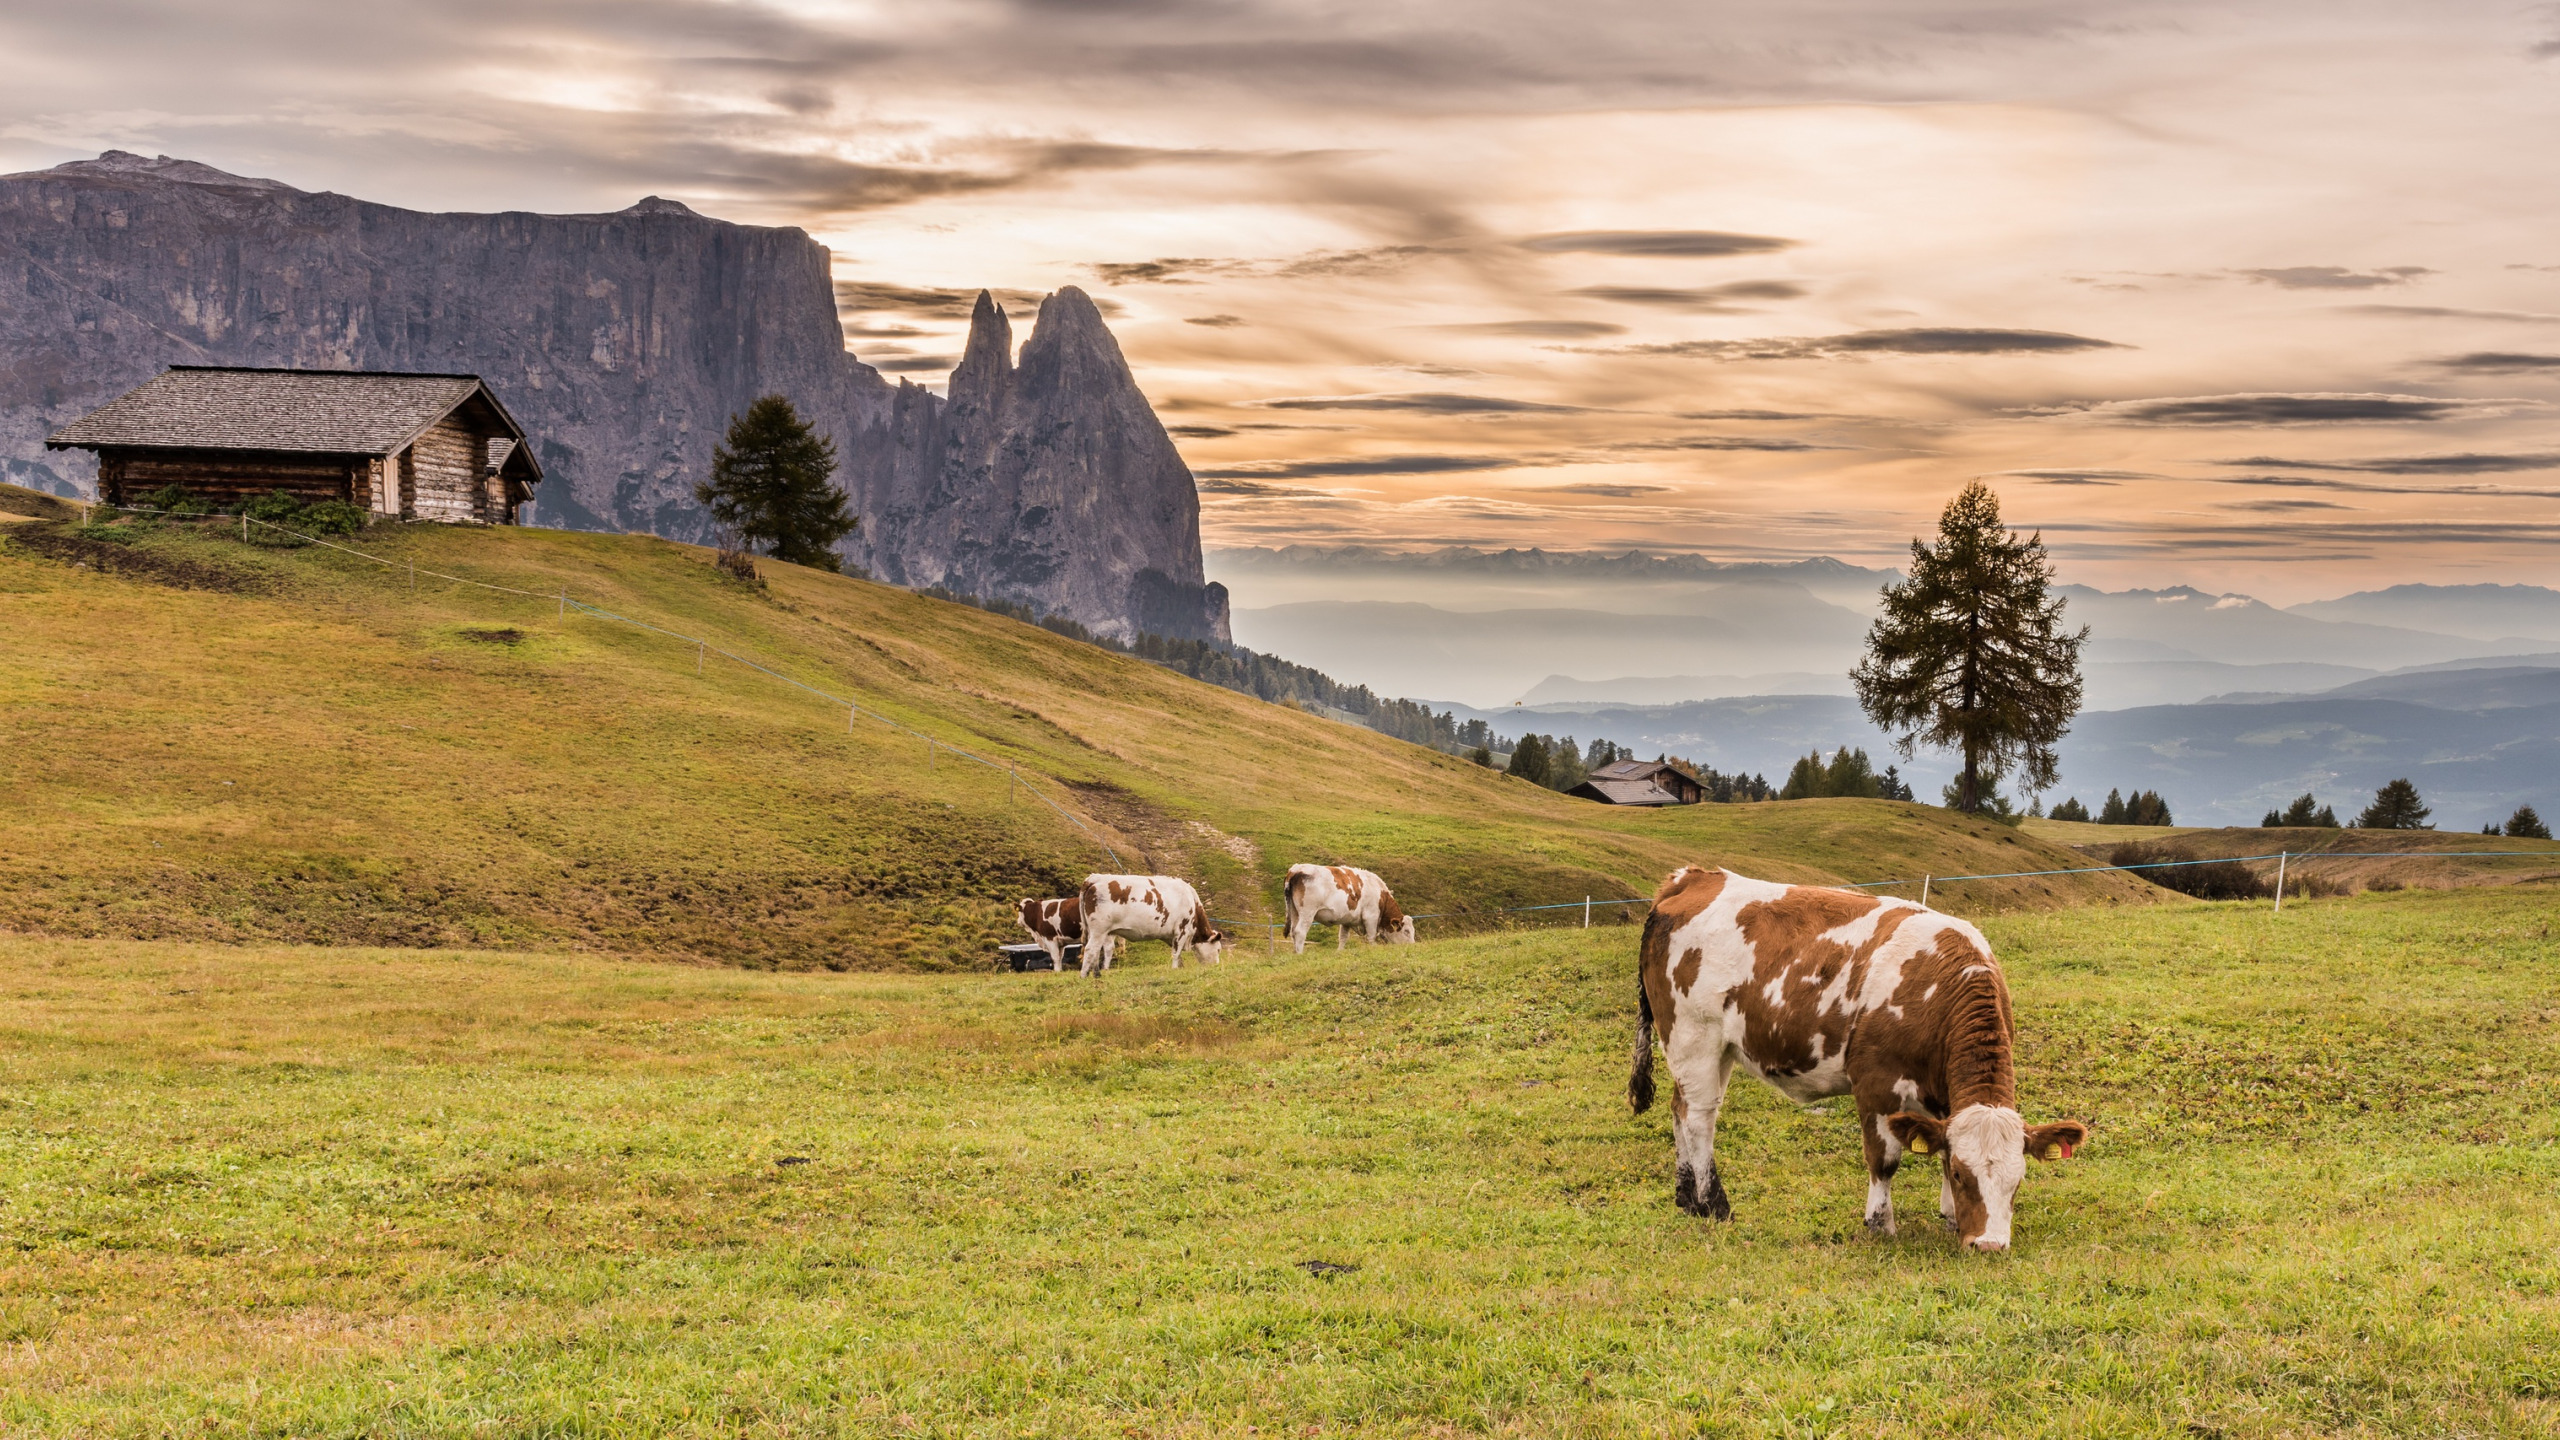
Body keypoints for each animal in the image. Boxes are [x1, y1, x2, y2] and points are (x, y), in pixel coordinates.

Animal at [1075, 871, 1233, 968]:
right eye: (1218, 949)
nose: (1216, 966)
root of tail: (1094, 878)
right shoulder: (1182, 930)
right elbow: (1176, 953)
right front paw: (1175, 969)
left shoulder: (1172, 936)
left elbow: (1177, 954)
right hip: (1098, 930)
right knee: (1090, 949)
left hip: (1106, 931)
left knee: (1107, 950)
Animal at [1280, 860, 1423, 953]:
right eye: (1406, 931)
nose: (1413, 946)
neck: (1380, 893)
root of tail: (1295, 869)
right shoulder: (1371, 916)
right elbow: (1371, 937)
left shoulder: (1347, 920)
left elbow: (1343, 938)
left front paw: (1339, 952)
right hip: (1307, 912)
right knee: (1300, 932)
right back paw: (1300, 953)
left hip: (1294, 911)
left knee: (1293, 931)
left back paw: (1295, 953)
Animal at [1628, 860, 2088, 1245]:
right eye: (1963, 1175)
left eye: (2019, 1180)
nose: (1989, 1244)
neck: (1941, 986)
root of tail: (1694, 877)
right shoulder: (1875, 1083)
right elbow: (1884, 1160)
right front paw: (1880, 1224)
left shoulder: (1943, 1097)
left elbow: (1941, 1144)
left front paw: (1951, 1218)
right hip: (1693, 1035)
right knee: (1700, 1119)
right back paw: (1713, 1204)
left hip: (1713, 1047)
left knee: (1680, 1109)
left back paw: (1685, 1198)